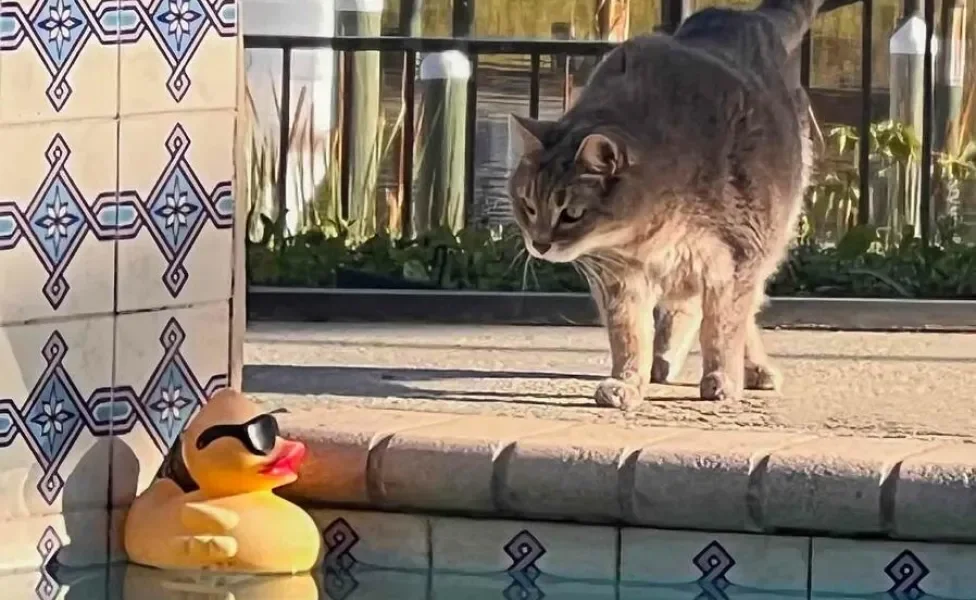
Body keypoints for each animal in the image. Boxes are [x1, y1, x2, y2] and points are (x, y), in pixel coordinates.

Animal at [508, 0, 828, 408]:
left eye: (571, 214)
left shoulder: (739, 256)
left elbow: (723, 326)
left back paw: (748, 367)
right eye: (528, 207)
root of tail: (746, 15)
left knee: (740, 307)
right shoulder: (618, 276)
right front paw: (628, 380)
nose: (539, 244)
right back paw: (666, 356)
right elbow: (629, 333)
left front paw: (723, 377)